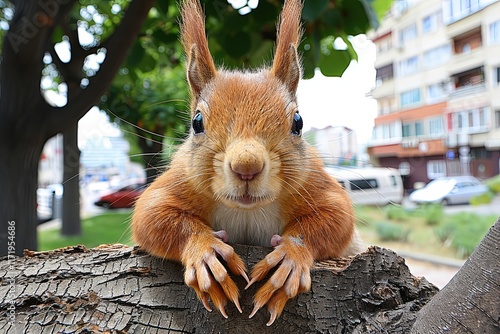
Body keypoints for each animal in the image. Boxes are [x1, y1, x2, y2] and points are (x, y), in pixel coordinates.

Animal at [132, 0, 368, 324]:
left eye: (298, 122)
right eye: (196, 122)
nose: (247, 167)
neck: (246, 211)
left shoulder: (314, 182)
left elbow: (337, 218)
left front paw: (290, 258)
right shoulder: (179, 180)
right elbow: (150, 216)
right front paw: (205, 251)